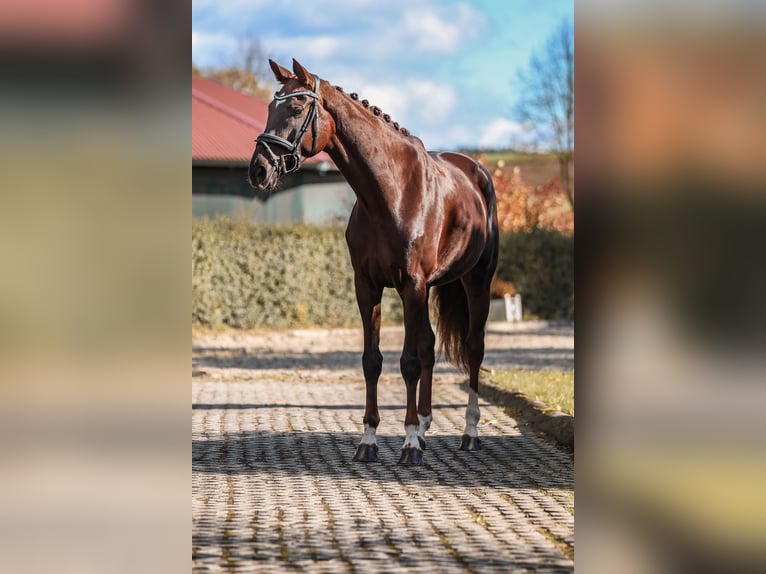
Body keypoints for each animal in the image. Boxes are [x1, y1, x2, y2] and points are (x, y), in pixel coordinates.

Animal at [249, 59, 498, 466]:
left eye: (297, 108)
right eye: (272, 107)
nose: (258, 169)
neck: (390, 192)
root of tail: (475, 171)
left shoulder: (411, 284)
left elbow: (408, 362)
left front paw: (409, 445)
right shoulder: (368, 286)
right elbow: (373, 361)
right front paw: (369, 441)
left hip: (477, 281)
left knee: (473, 349)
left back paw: (469, 433)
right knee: (429, 346)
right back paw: (426, 428)